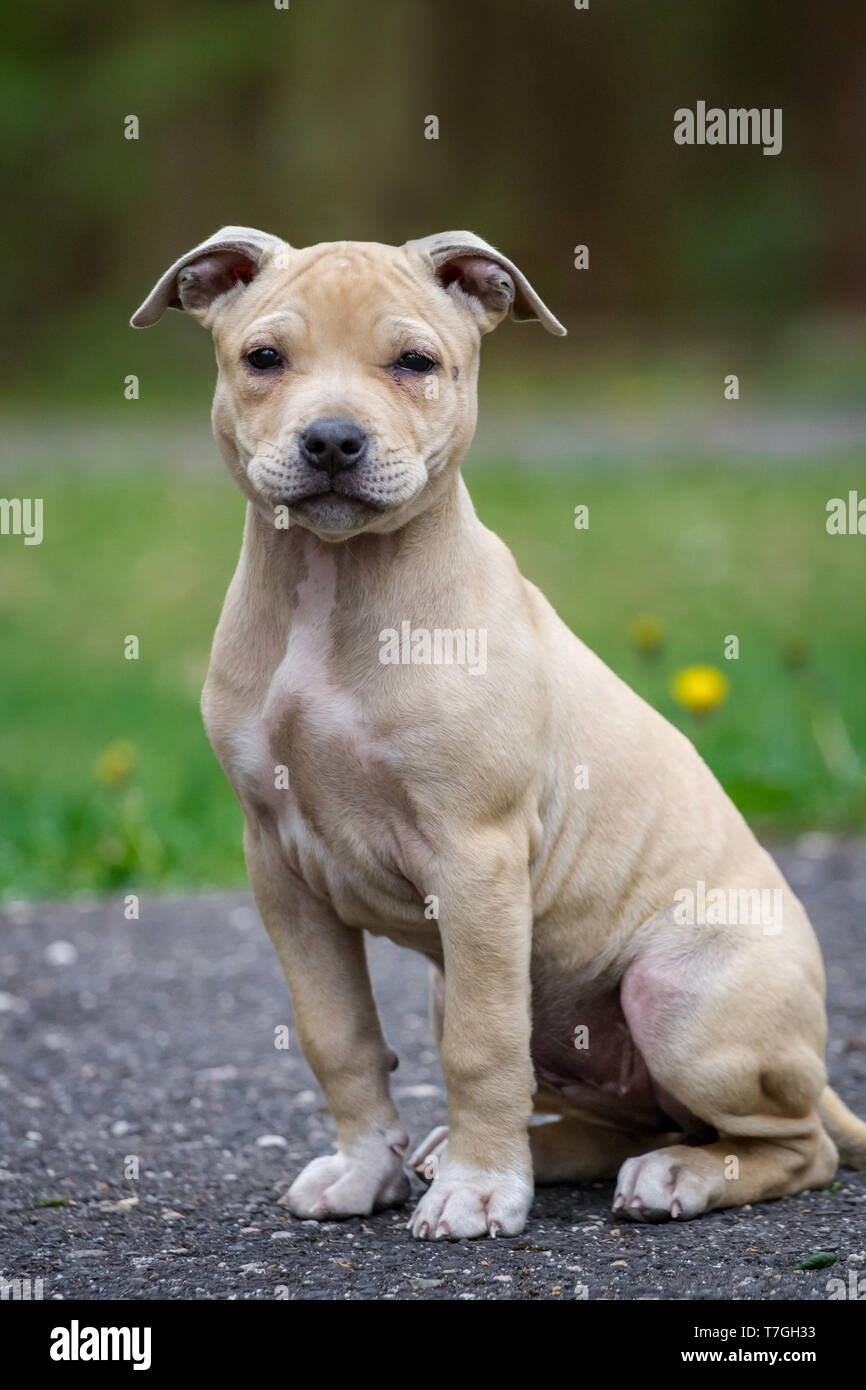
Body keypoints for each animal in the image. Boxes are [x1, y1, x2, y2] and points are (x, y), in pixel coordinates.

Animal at [132, 227, 861, 1239]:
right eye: (265, 359)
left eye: (415, 363)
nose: (332, 440)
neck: (335, 583)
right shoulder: (281, 869)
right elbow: (336, 1034)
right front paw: (366, 1170)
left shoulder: (473, 859)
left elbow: (482, 1048)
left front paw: (480, 1191)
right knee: (613, 1115)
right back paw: (520, 1156)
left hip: (678, 997)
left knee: (795, 1147)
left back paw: (671, 1176)